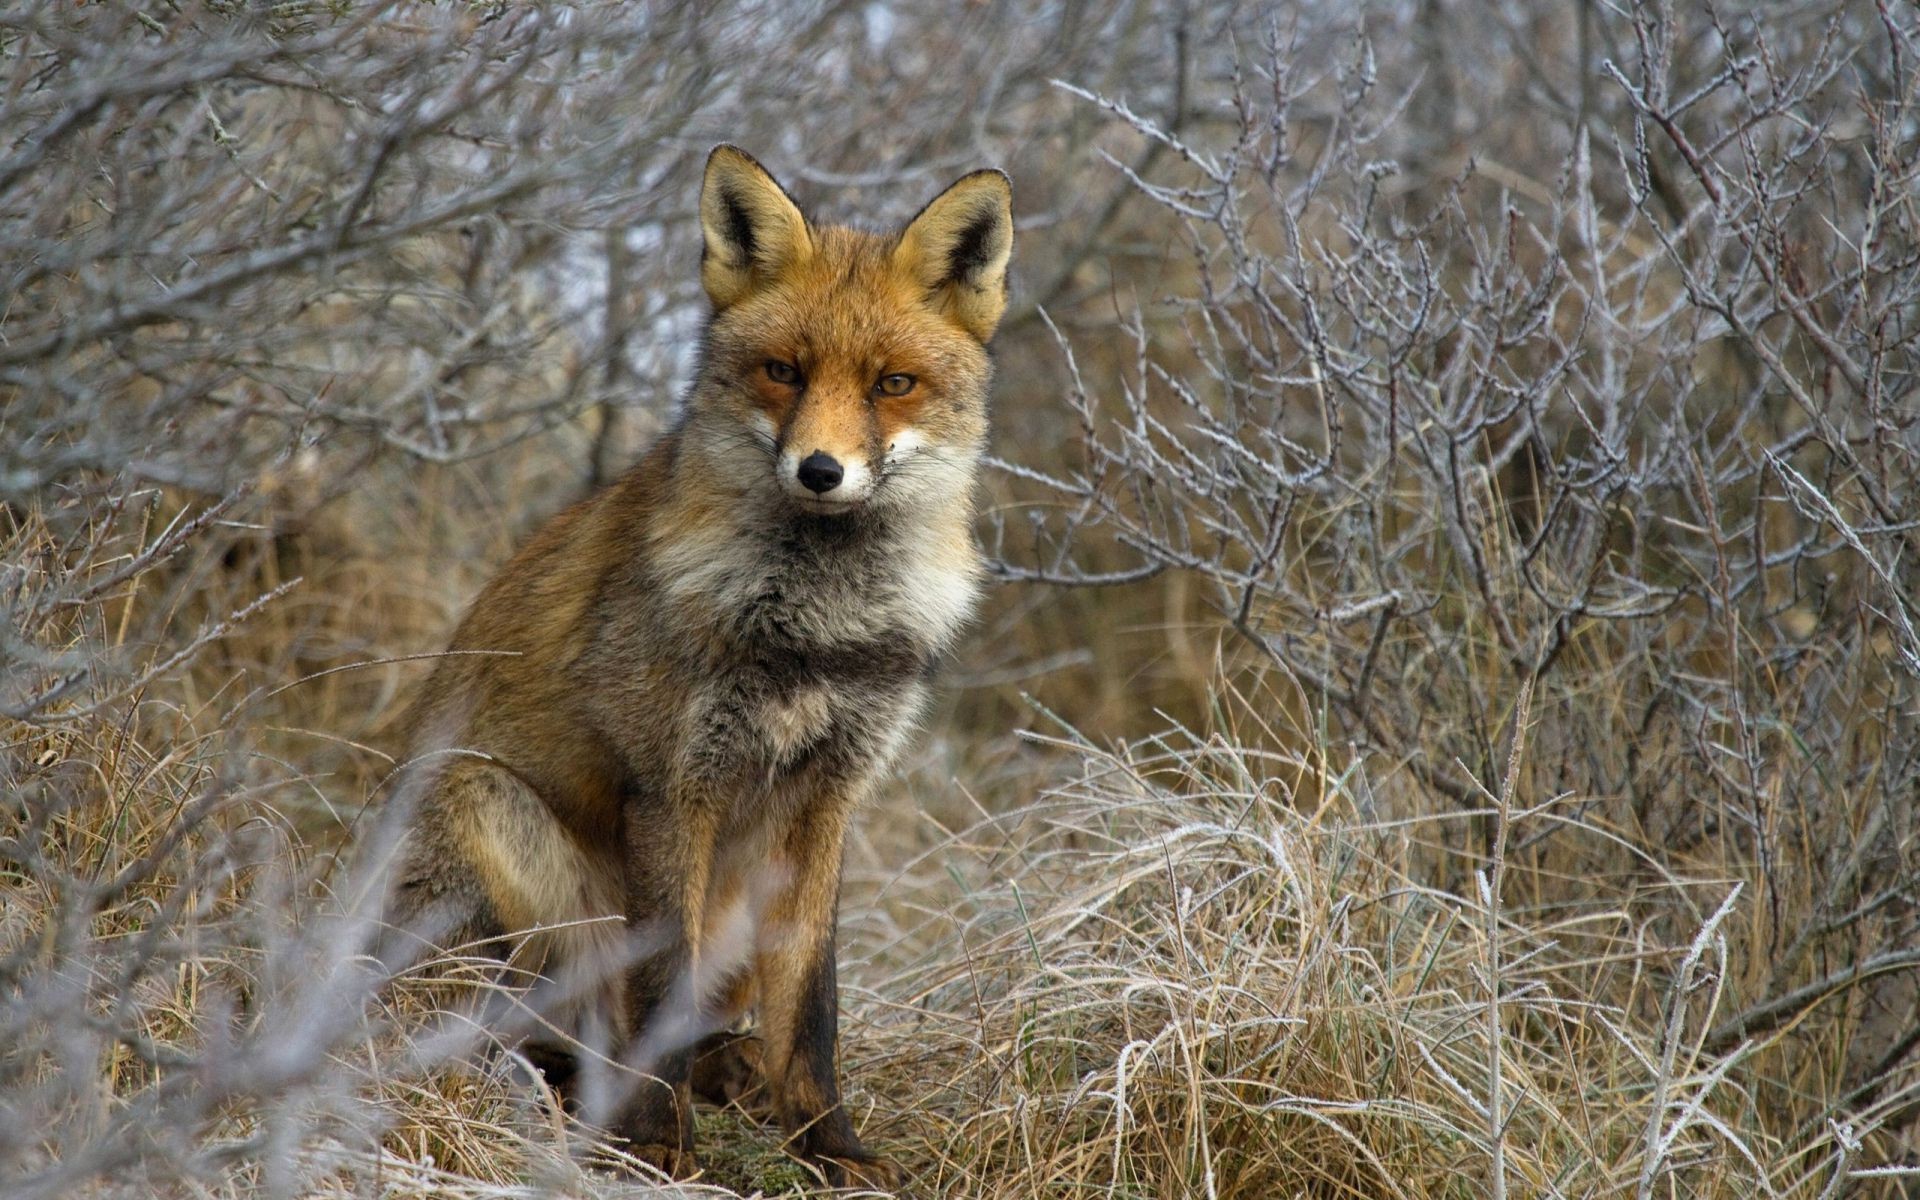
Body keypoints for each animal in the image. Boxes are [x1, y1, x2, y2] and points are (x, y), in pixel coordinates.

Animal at [370, 143, 1006, 1190]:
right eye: (782, 372)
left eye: (893, 383)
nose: (821, 471)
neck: (813, 634)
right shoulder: (672, 789)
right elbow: (662, 980)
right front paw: (663, 1145)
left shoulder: (829, 802)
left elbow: (814, 1008)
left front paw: (829, 1144)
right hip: (497, 823)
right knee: (565, 1032)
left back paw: (728, 1071)